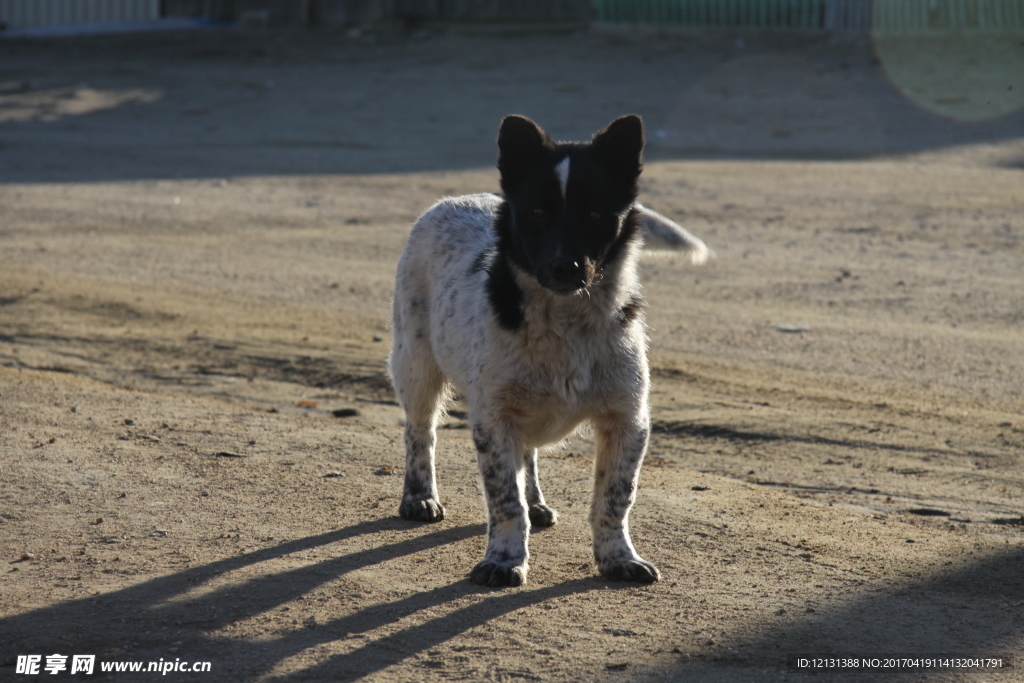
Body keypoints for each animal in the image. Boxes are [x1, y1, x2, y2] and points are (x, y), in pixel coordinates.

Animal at [387, 113, 708, 589]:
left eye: (595, 213)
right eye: (537, 212)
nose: (564, 267)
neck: (566, 319)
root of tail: (454, 199)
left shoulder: (627, 419)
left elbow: (614, 499)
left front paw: (618, 557)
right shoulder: (493, 420)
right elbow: (505, 500)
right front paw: (504, 559)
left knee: (528, 453)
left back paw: (536, 502)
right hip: (416, 365)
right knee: (419, 432)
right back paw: (420, 497)